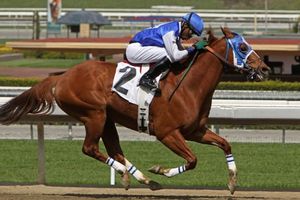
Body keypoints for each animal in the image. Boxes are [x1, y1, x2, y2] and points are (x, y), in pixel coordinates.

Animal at [0, 27, 270, 194]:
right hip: (93, 114)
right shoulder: (167, 133)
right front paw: (160, 169)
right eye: (243, 47)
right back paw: (132, 175)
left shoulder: (196, 131)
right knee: (90, 148)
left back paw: (142, 179)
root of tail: (62, 76)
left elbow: (225, 144)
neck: (188, 85)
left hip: (107, 119)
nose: (265, 68)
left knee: (115, 150)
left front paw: (233, 182)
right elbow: (192, 160)